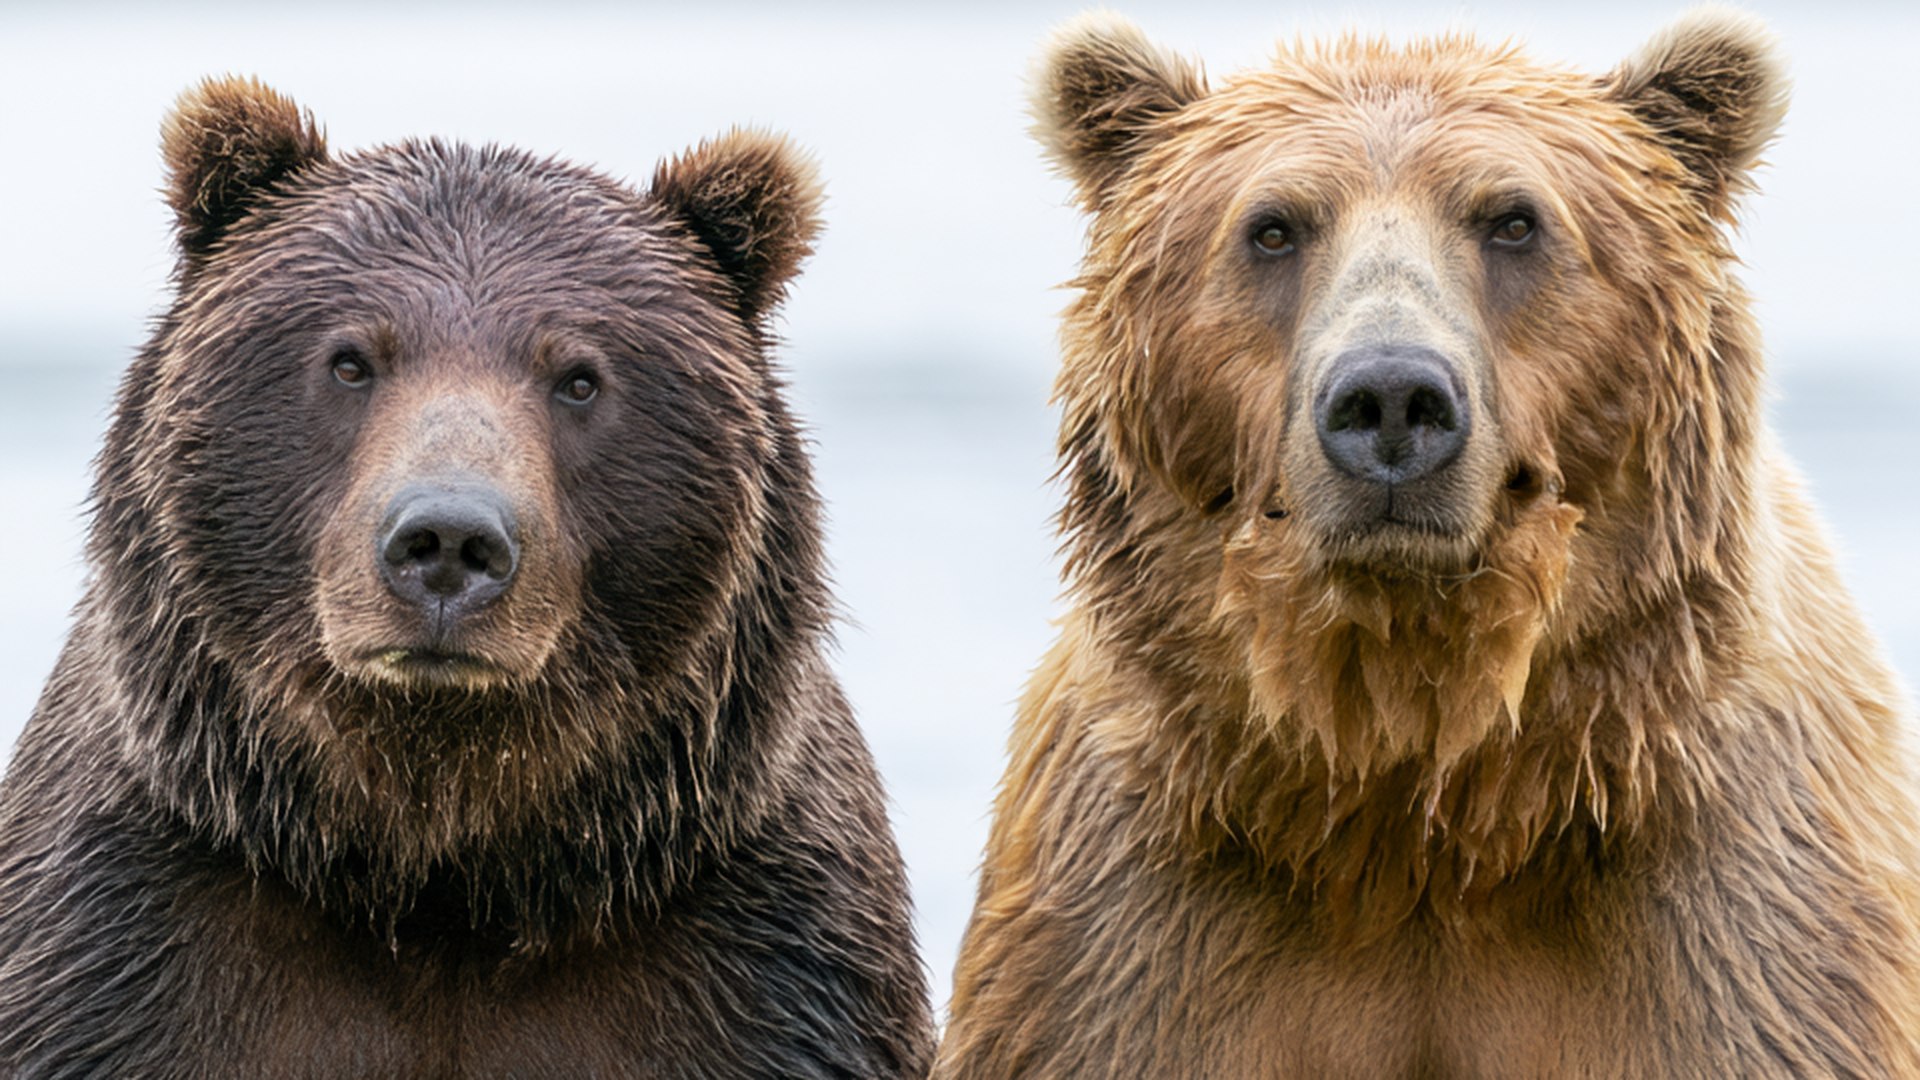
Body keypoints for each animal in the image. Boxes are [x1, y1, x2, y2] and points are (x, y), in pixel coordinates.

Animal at [0, 77, 933, 1078]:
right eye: (350, 359)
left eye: (579, 378)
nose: (447, 541)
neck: (449, 882)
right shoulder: (125, 946)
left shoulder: (765, 963)